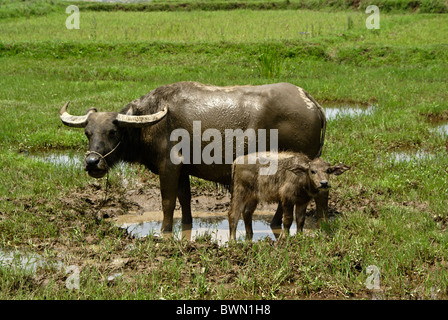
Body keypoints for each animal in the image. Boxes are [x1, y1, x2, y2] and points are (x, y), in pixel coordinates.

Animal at [59, 81, 326, 231]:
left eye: (113, 132)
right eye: (88, 132)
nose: (92, 162)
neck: (150, 123)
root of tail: (313, 103)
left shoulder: (168, 167)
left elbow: (167, 202)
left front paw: (165, 230)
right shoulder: (183, 170)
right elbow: (185, 199)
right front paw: (187, 225)